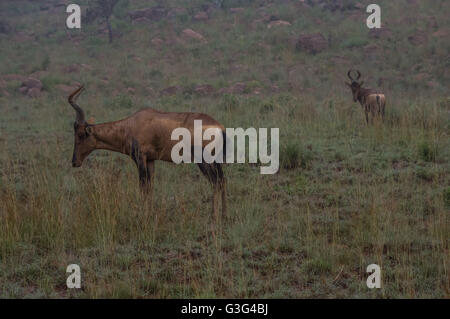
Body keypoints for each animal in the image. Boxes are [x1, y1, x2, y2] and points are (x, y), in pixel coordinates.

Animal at [67, 86, 229, 218]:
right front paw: (149, 214)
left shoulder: (140, 158)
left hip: (204, 160)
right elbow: (150, 188)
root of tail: (219, 127)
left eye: (80, 135)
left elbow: (143, 187)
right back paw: (224, 216)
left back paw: (214, 217)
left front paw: (142, 216)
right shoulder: (151, 160)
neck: (131, 124)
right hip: (216, 160)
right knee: (222, 181)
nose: (75, 162)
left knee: (215, 183)